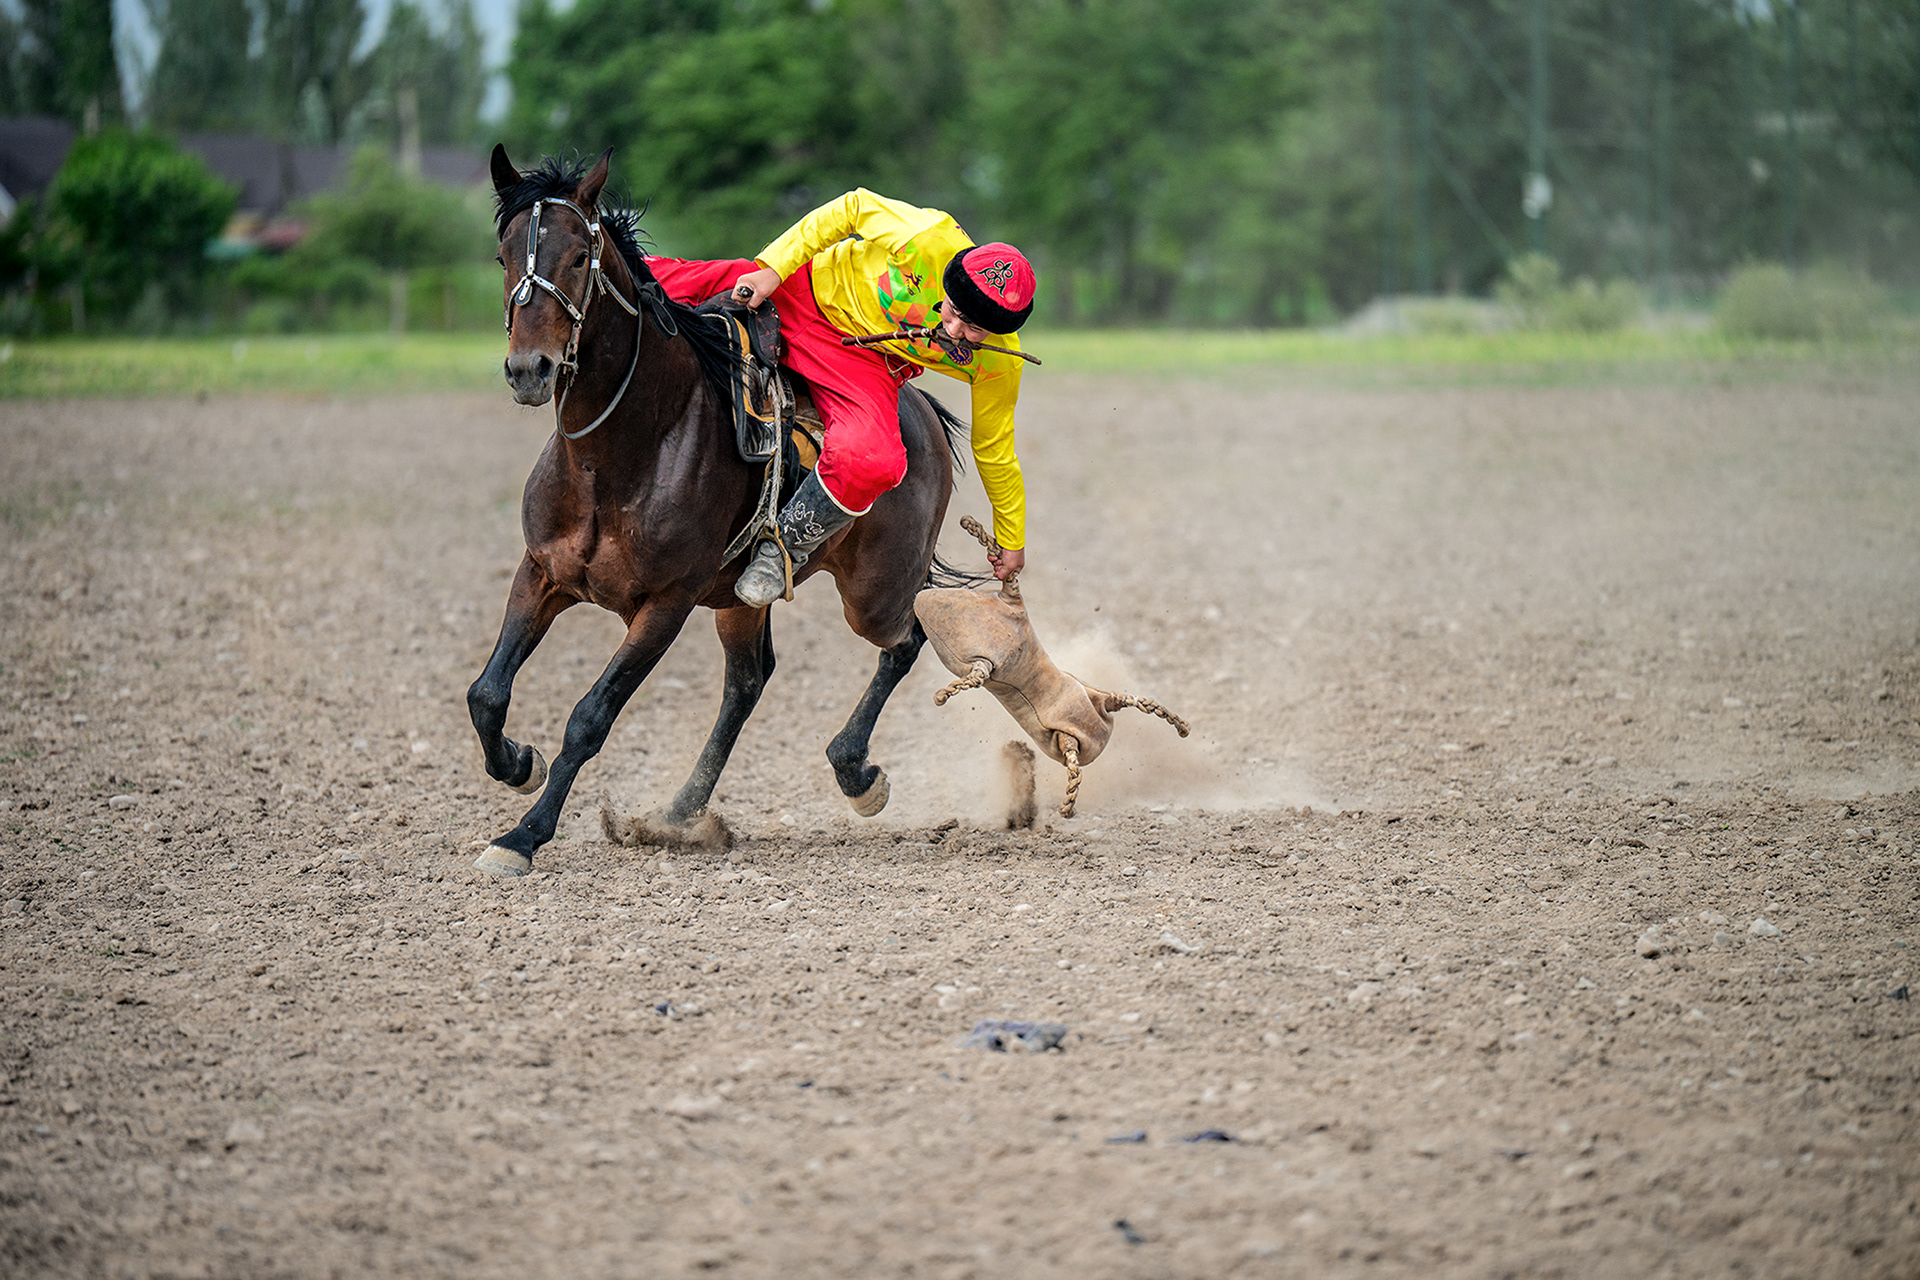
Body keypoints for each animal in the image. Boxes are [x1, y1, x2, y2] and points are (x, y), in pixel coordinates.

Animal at [466, 146, 966, 876]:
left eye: (581, 257)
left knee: (907, 640)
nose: (530, 368)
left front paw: (524, 835)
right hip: (737, 600)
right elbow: (487, 693)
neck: (615, 456)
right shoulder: (541, 573)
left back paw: (855, 772)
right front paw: (517, 765)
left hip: (874, 592)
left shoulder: (665, 605)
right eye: (504, 253)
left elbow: (590, 718)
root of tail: (921, 409)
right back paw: (681, 811)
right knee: (748, 683)